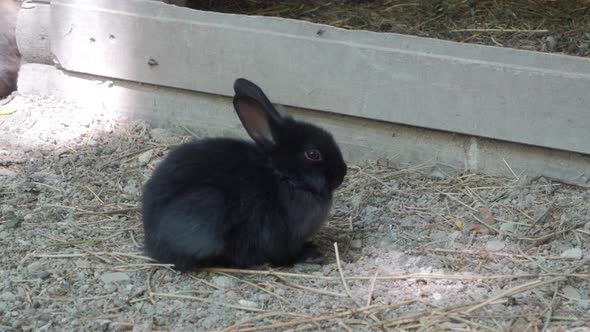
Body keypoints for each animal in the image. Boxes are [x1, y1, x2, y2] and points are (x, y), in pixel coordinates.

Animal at [142, 79, 346, 272]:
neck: (283, 175)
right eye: (313, 154)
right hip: (207, 205)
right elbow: (283, 254)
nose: (342, 173)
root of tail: (152, 243)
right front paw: (309, 254)